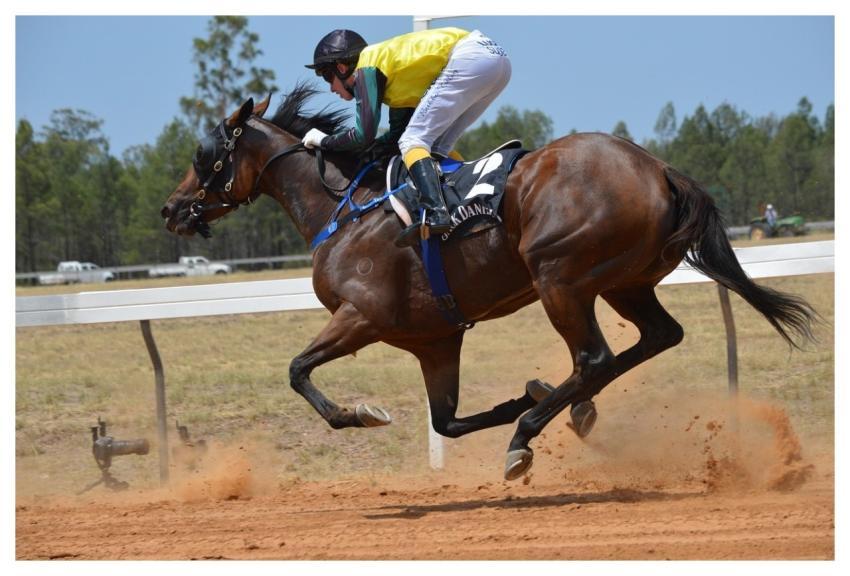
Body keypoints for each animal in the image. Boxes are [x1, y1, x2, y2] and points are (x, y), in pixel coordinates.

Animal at [161, 85, 816, 480]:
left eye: (202, 155)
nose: (171, 210)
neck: (345, 211)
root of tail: (658, 168)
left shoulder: (362, 316)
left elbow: (298, 370)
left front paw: (364, 413)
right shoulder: (434, 340)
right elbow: (445, 420)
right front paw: (523, 396)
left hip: (558, 275)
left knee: (595, 357)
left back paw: (528, 436)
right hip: (623, 282)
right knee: (655, 338)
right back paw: (565, 411)